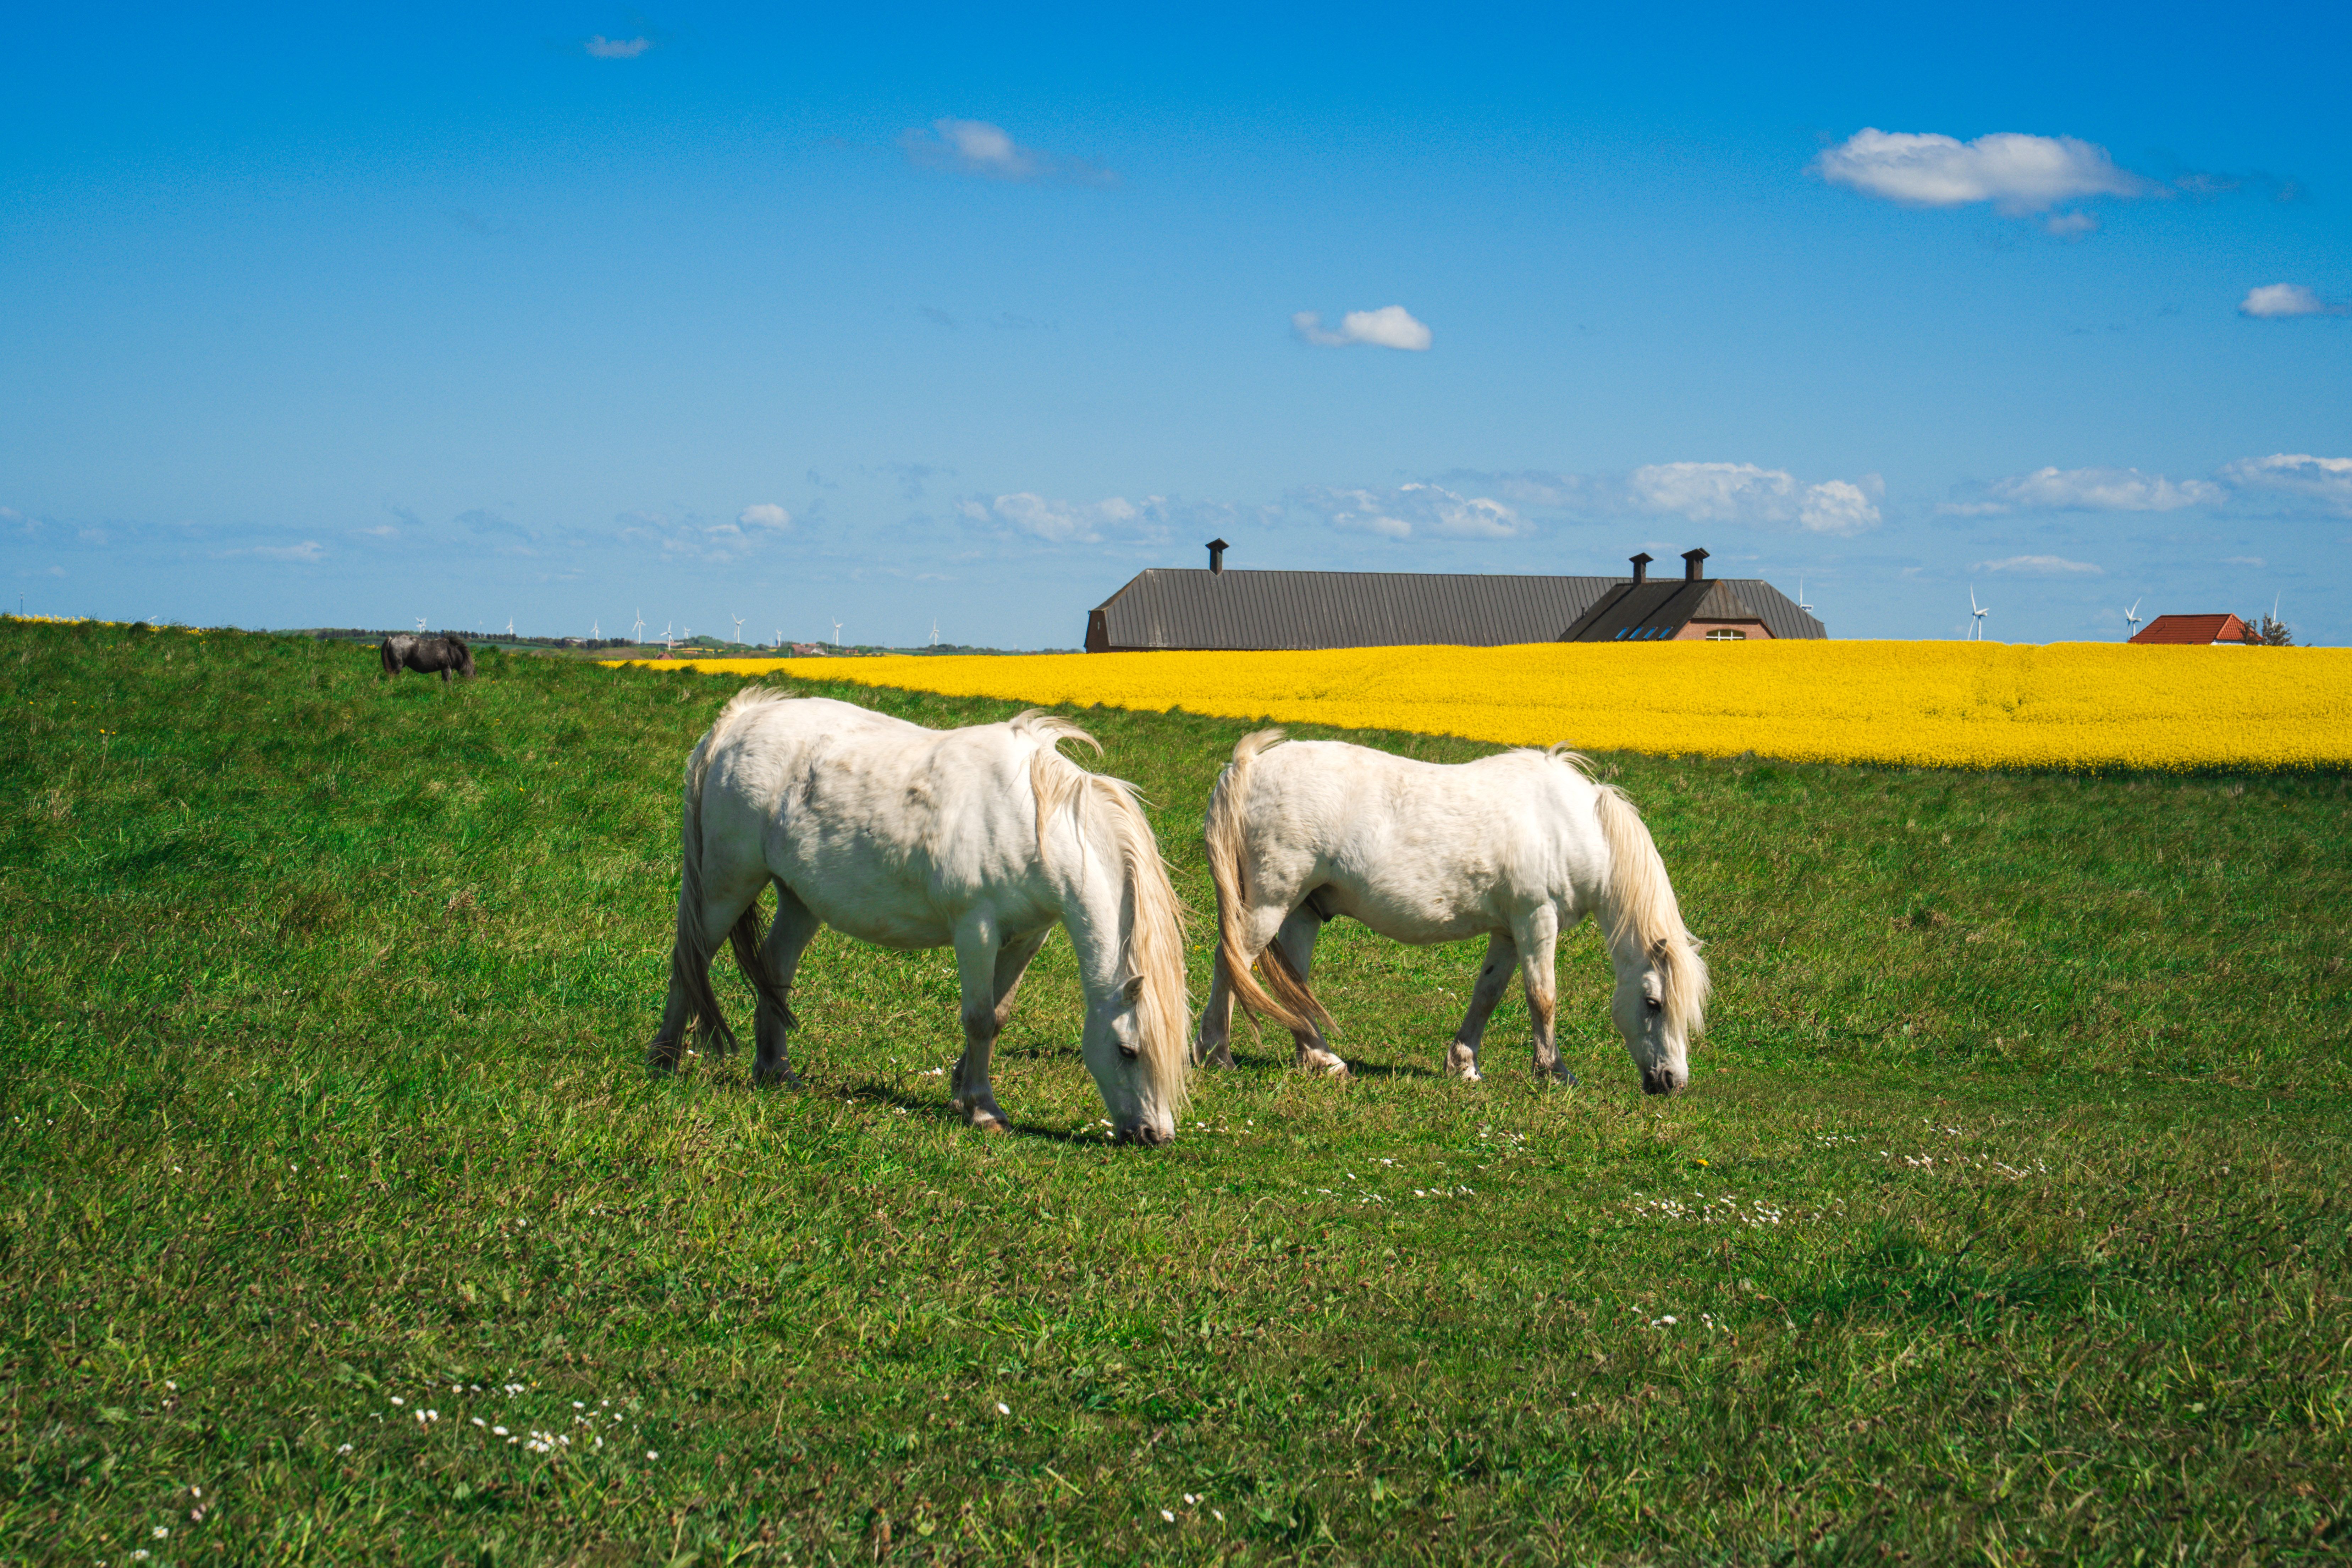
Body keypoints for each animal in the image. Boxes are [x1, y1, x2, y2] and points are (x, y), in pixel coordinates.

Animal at [379, 633, 475, 683]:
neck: (451, 651)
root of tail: (391, 639)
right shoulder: (447, 669)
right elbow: (448, 683)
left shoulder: (443, 670)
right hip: (397, 666)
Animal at [648, 690, 1192, 1144]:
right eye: (1127, 1050)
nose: (1154, 1136)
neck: (1035, 818)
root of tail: (738, 721)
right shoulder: (976, 930)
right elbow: (977, 1018)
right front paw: (983, 1108)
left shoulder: (1027, 937)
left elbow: (998, 1014)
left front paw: (960, 1090)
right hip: (727, 884)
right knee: (690, 960)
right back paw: (663, 1061)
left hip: (799, 900)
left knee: (775, 968)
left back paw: (775, 1069)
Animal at [1196, 730, 1707, 1095]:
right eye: (1653, 1003)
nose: (1672, 1083)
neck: (1566, 825)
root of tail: (1246, 768)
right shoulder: (1536, 919)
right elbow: (1542, 995)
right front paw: (1554, 1072)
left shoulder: (1509, 931)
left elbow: (1489, 993)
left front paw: (1464, 1064)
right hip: (1269, 903)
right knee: (1232, 963)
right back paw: (1216, 1053)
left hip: (1302, 910)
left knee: (1293, 983)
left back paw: (1322, 1060)